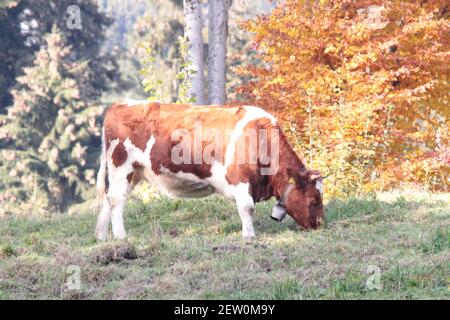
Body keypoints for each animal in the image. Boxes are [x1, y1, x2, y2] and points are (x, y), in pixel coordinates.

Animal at [95, 100, 324, 240]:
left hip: (133, 172)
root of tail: (120, 104)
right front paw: (249, 235)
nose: (321, 224)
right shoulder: (240, 179)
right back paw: (120, 236)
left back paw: (102, 236)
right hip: (121, 166)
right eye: (314, 199)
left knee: (109, 198)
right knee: (116, 200)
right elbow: (247, 207)